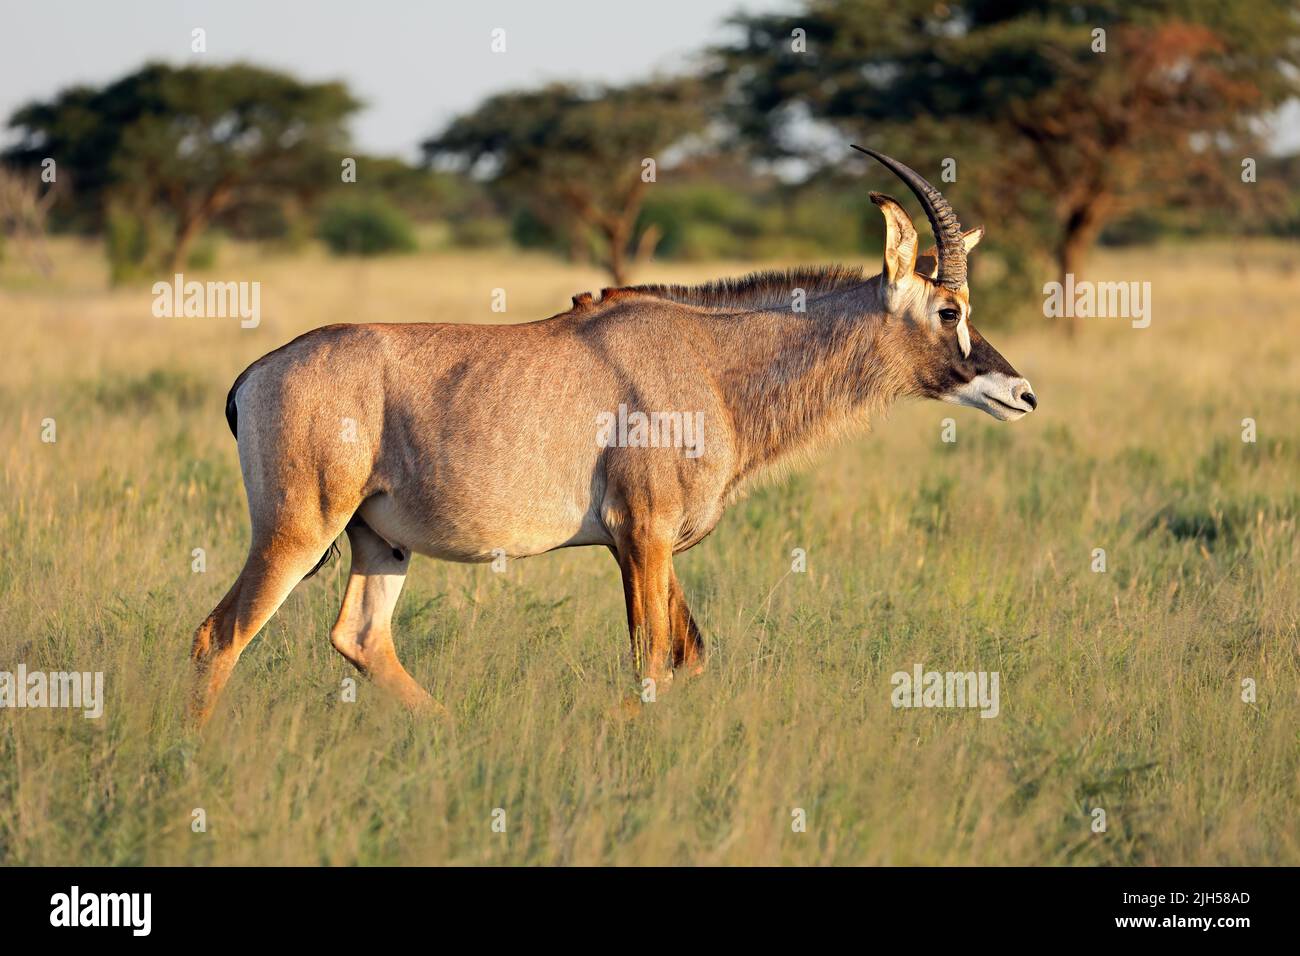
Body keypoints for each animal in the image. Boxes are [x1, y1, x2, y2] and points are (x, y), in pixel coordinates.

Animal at [189, 145, 1034, 723]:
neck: (712, 363)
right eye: (950, 311)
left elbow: (689, 656)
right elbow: (652, 663)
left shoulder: (657, 547)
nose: (1021, 393)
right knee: (219, 635)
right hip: (298, 530)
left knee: (361, 638)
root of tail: (257, 371)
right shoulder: (641, 535)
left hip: (378, 540)